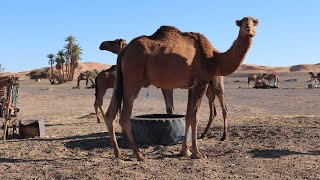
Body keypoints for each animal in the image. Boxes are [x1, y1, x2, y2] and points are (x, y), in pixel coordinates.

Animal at [105, 16, 260, 160]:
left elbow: (188, 115)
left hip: (120, 80)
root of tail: (124, 51)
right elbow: (195, 117)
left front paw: (185, 151)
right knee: (124, 116)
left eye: (254, 22)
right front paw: (197, 153)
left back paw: (118, 153)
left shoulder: (192, 86)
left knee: (110, 114)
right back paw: (139, 155)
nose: (248, 29)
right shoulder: (202, 82)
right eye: (243, 23)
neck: (215, 59)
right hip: (133, 78)